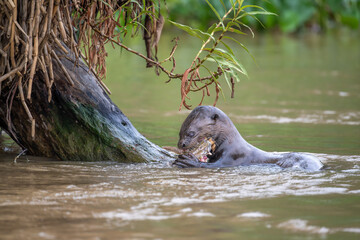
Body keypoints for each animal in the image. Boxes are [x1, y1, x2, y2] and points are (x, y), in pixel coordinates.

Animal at [172, 105, 324, 171]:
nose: (181, 145)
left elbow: (215, 165)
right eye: (180, 133)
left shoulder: (233, 156)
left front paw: (188, 161)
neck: (230, 142)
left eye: (191, 133)